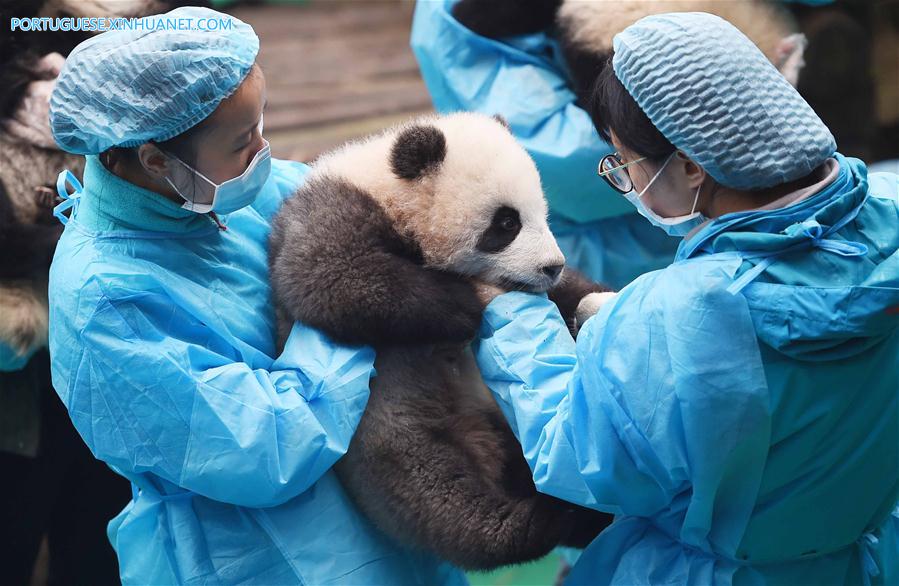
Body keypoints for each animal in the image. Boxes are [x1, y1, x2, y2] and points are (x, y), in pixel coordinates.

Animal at [269, 112, 613, 569]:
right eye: (507, 223)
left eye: (542, 212)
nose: (551, 266)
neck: (394, 193)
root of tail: (485, 445)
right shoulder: (334, 209)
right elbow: (333, 277)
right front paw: (466, 305)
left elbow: (570, 293)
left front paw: (598, 302)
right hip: (391, 427)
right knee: (437, 491)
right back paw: (537, 520)